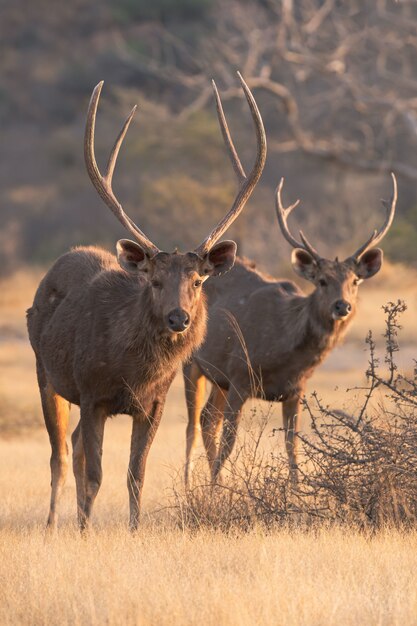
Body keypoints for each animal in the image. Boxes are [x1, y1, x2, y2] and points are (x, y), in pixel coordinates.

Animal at [26, 74, 266, 532]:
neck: (132, 372)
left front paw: (133, 531)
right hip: (46, 373)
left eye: (198, 280)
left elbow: (136, 474)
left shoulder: (153, 404)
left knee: (73, 446)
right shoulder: (92, 393)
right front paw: (86, 534)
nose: (179, 317)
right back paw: (51, 525)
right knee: (60, 455)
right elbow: (95, 473)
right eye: (154, 281)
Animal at [183, 174, 396, 482]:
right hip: (192, 363)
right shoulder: (241, 374)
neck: (284, 350)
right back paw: (192, 485)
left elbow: (292, 449)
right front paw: (217, 490)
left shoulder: (295, 390)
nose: (342, 306)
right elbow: (229, 444)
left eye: (355, 281)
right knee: (194, 425)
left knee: (208, 418)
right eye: (321, 280)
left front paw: (295, 493)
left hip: (218, 378)